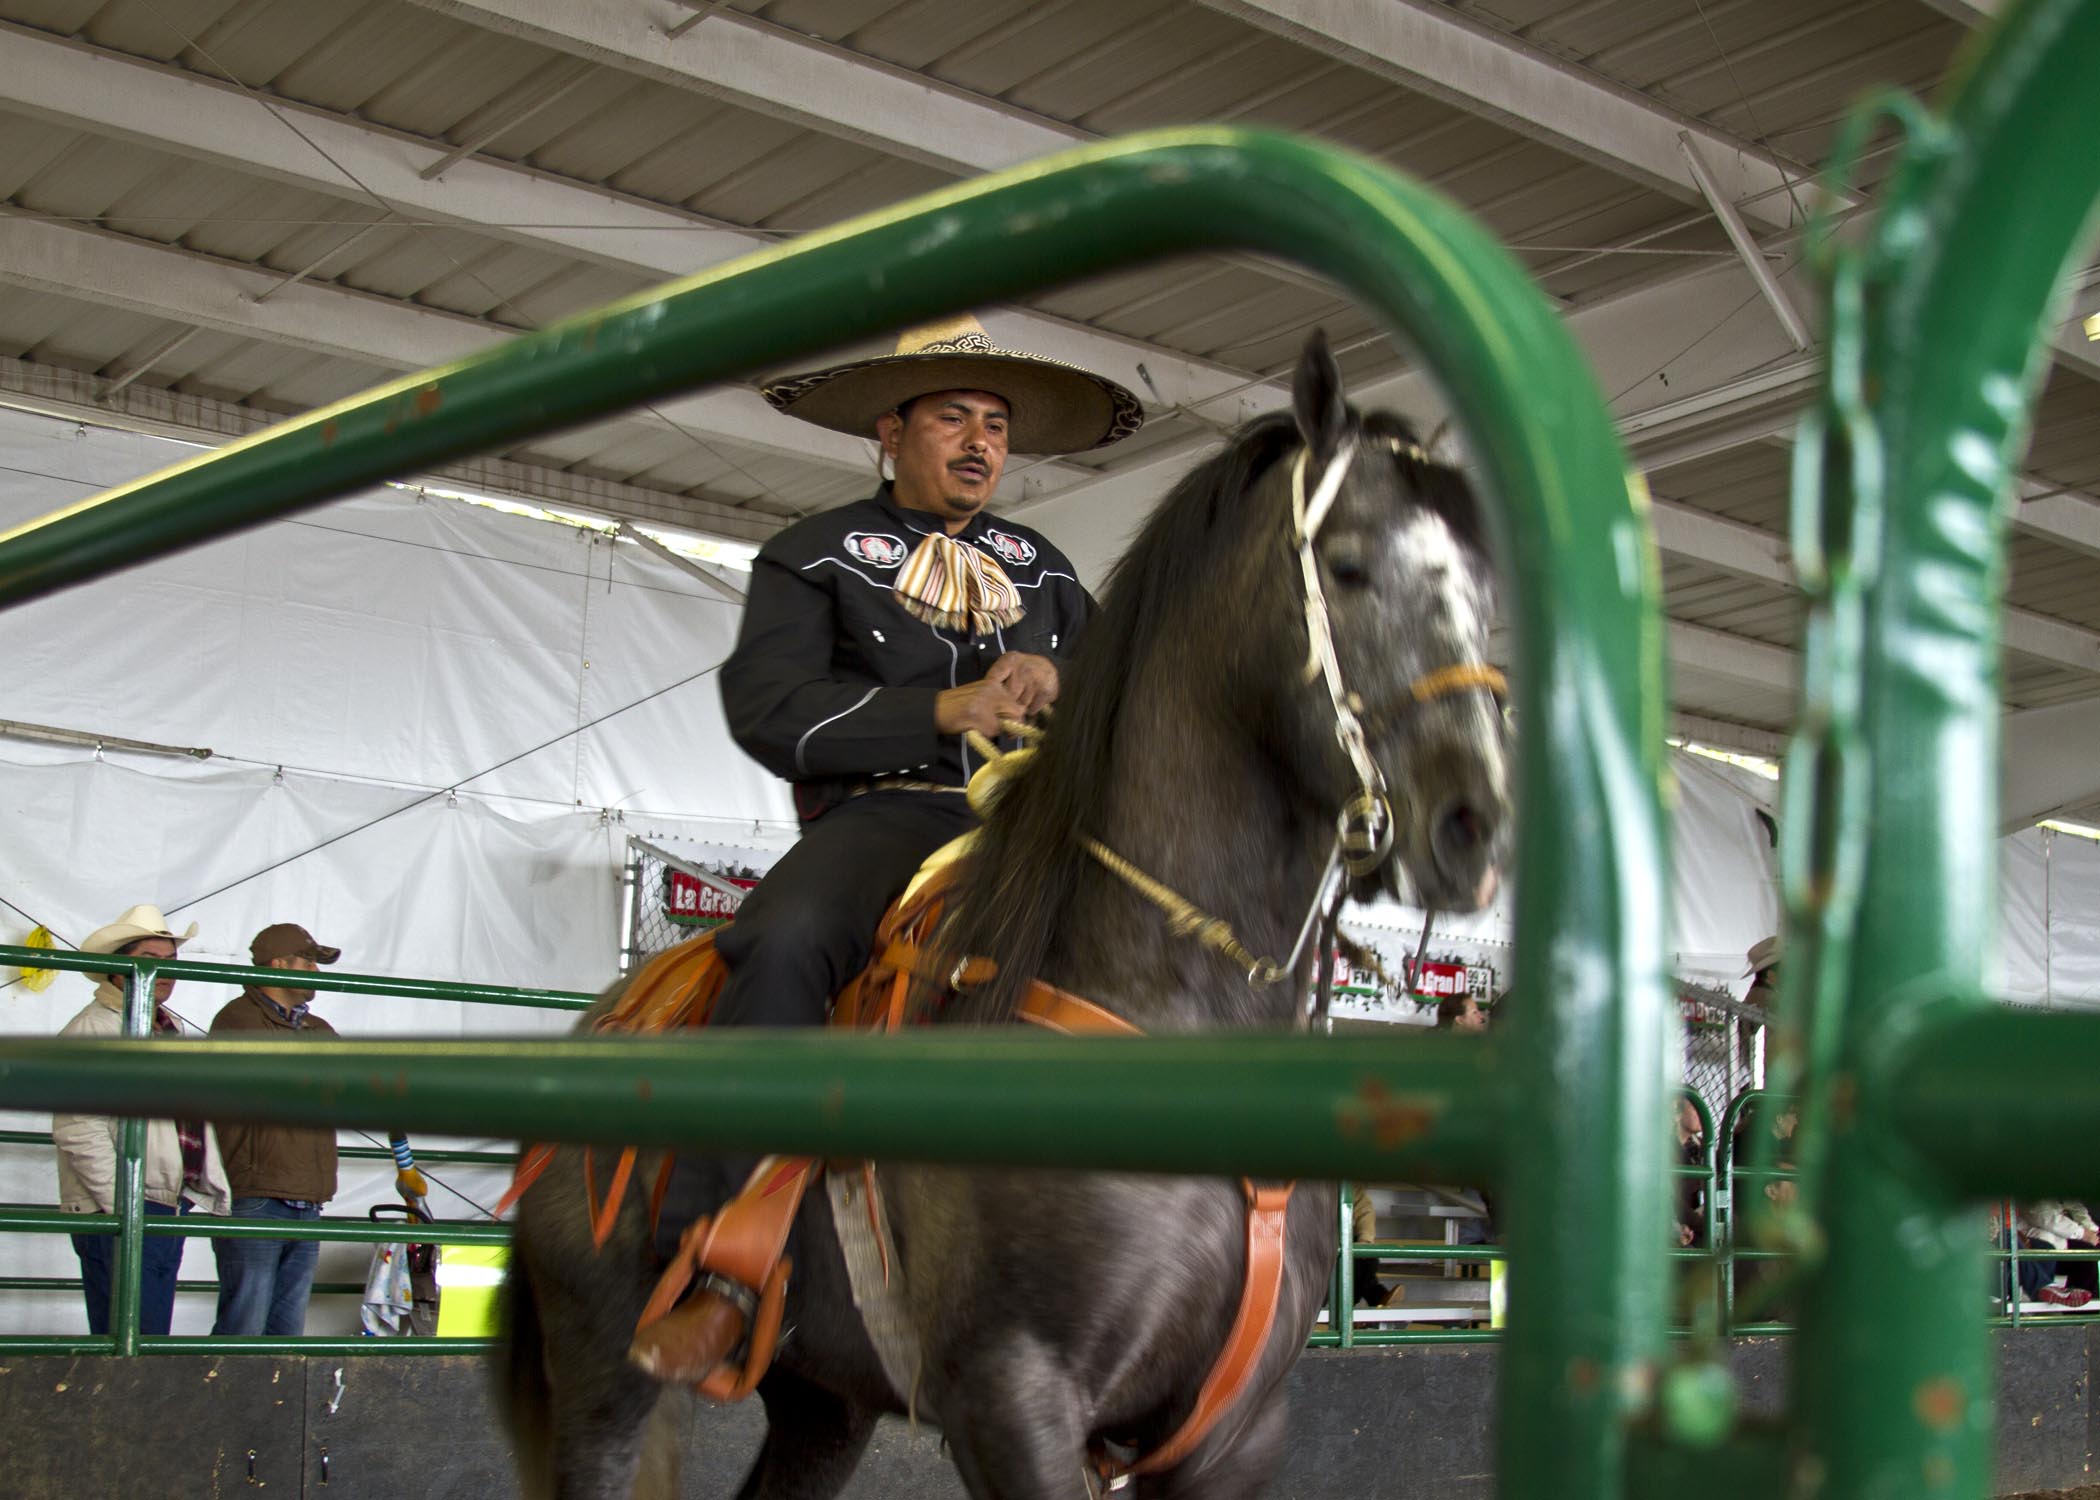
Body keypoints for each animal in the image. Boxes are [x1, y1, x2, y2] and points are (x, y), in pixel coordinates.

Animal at [516, 334, 1520, 1495]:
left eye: (1486, 588)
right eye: (1350, 566)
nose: (1471, 827)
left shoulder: (1233, 1432)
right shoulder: (1011, 1399)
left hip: (821, 1404)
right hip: (602, 1371)